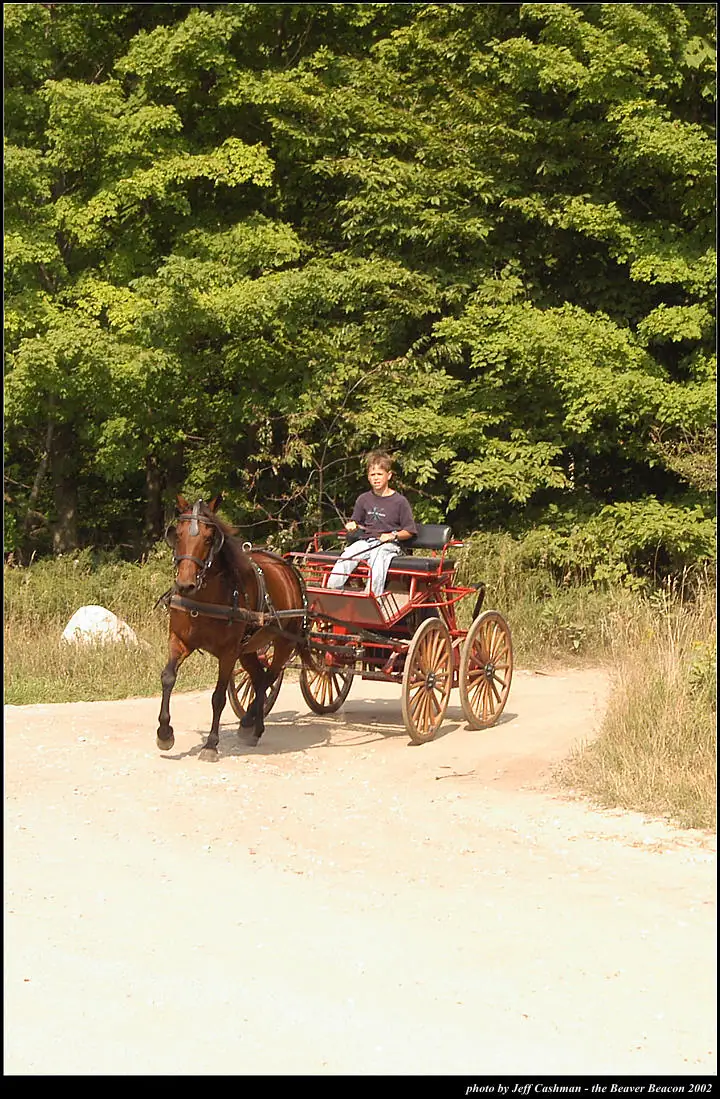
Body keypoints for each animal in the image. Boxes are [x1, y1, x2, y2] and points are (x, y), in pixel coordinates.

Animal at [157, 494, 309, 761]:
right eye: (179, 534)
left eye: (209, 538)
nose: (185, 584)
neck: (205, 599)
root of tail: (287, 569)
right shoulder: (179, 640)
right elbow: (168, 678)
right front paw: (165, 733)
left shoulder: (228, 653)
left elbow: (218, 697)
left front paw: (210, 744)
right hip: (248, 648)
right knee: (258, 677)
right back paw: (251, 723)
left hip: (283, 642)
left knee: (269, 677)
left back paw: (252, 724)